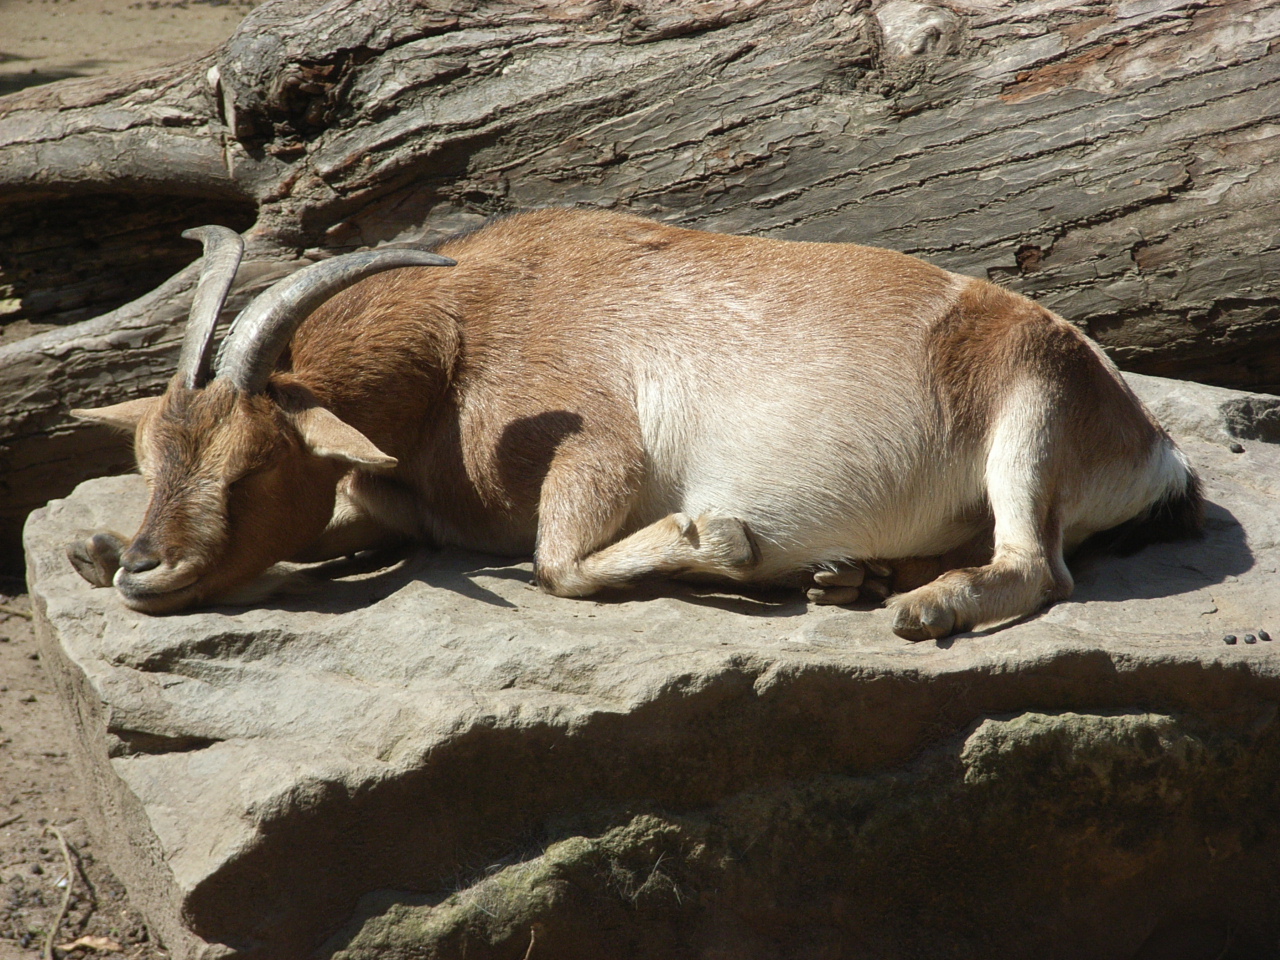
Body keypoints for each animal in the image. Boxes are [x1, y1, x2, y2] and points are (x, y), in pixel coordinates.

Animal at [67, 207, 1198, 642]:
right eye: (150, 457)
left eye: (252, 465)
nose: (147, 570)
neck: (462, 333)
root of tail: (1153, 447)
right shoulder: (420, 504)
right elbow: (354, 522)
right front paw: (92, 548)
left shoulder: (595, 450)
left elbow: (559, 564)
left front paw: (724, 539)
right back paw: (851, 576)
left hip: (1030, 410)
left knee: (1036, 566)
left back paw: (915, 606)